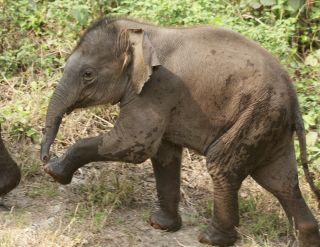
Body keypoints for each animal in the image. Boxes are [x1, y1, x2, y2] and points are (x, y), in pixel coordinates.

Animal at [40, 16, 320, 246]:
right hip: (269, 124)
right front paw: (160, 226)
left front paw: (55, 172)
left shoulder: (157, 89)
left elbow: (131, 145)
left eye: (88, 74)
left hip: (257, 115)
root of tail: (294, 99)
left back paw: (211, 239)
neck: (139, 30)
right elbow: (164, 154)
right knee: (279, 180)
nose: (44, 157)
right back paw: (305, 238)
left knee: (223, 166)